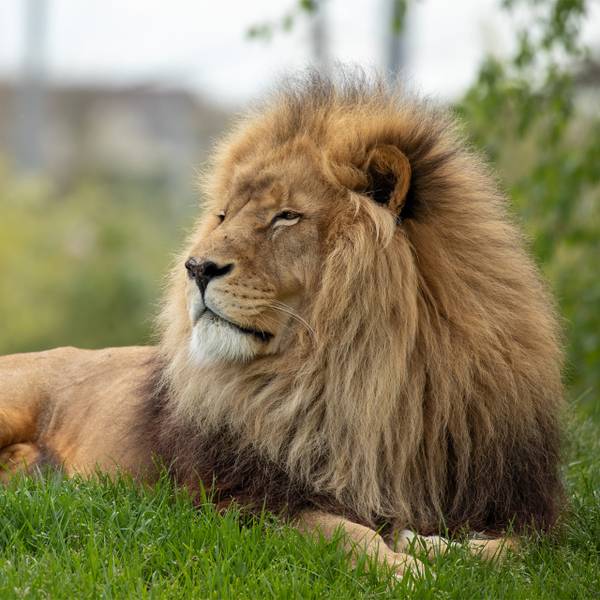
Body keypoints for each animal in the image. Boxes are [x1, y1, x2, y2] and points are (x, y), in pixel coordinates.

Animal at [0, 72, 564, 580]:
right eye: (223, 215)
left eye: (286, 216)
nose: (195, 267)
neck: (366, 384)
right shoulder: (241, 501)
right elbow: (346, 532)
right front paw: (408, 567)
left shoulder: (521, 511)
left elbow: (517, 549)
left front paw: (440, 547)